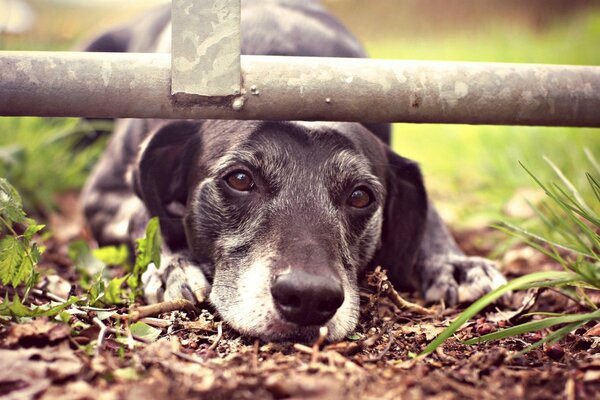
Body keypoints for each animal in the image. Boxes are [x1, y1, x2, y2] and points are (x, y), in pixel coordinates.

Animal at [79, 0, 504, 344]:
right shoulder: (103, 195)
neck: (288, 72)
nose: (309, 298)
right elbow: (143, 214)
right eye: (240, 179)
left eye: (360, 196)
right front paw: (171, 265)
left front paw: (454, 262)